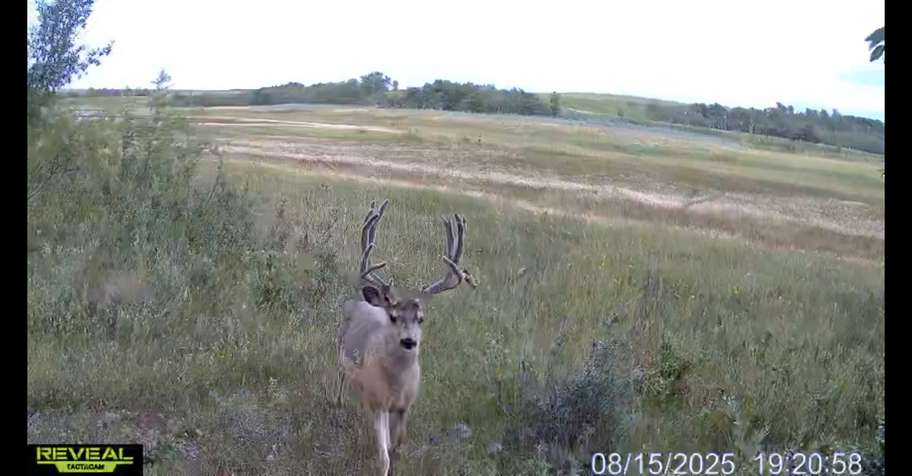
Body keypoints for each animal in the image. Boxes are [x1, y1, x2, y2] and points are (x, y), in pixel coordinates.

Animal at [335, 199, 477, 476]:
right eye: (393, 316)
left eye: (421, 318)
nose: (409, 341)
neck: (396, 385)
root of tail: (360, 301)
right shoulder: (379, 403)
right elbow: (384, 457)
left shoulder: (404, 407)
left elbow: (397, 449)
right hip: (341, 352)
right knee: (341, 378)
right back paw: (337, 403)